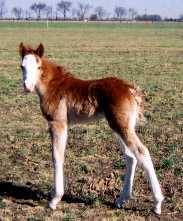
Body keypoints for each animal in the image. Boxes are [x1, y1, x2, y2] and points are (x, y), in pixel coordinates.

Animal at [19, 42, 164, 213]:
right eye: (22, 66)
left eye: (38, 66)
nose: (27, 86)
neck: (53, 85)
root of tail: (131, 89)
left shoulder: (58, 123)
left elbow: (57, 156)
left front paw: (54, 200)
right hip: (119, 126)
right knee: (131, 156)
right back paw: (121, 200)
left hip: (121, 126)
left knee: (142, 152)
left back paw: (157, 203)